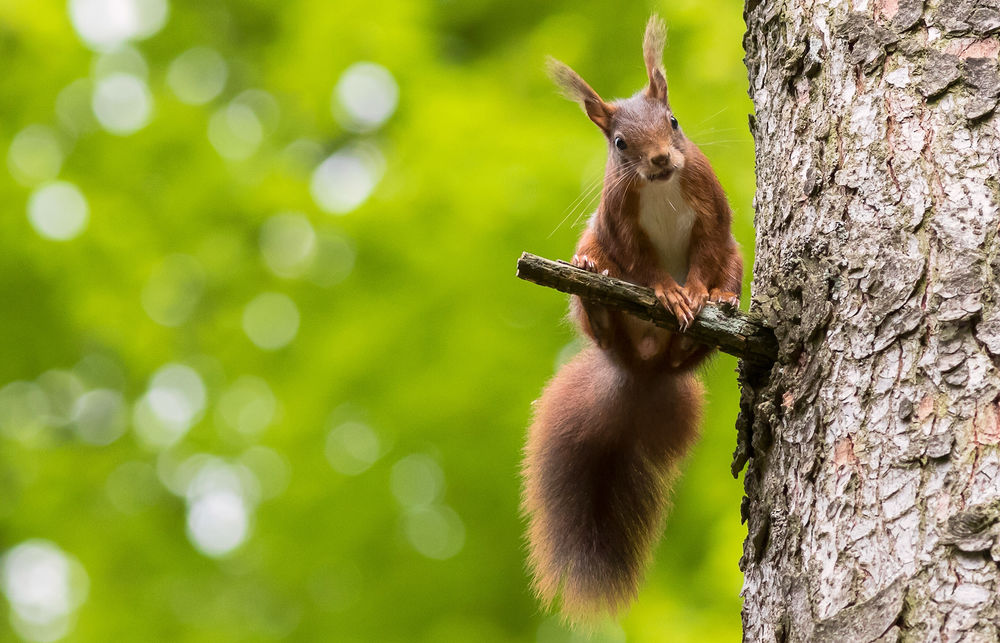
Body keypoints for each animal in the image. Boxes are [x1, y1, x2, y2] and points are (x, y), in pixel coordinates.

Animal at [521, 15, 744, 623]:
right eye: (619, 143)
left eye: (674, 120)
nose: (662, 161)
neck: (662, 188)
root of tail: (642, 366)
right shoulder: (620, 224)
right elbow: (644, 266)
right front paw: (669, 293)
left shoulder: (711, 211)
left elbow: (706, 254)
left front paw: (697, 293)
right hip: (592, 259)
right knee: (599, 307)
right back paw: (595, 287)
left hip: (738, 263)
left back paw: (722, 306)